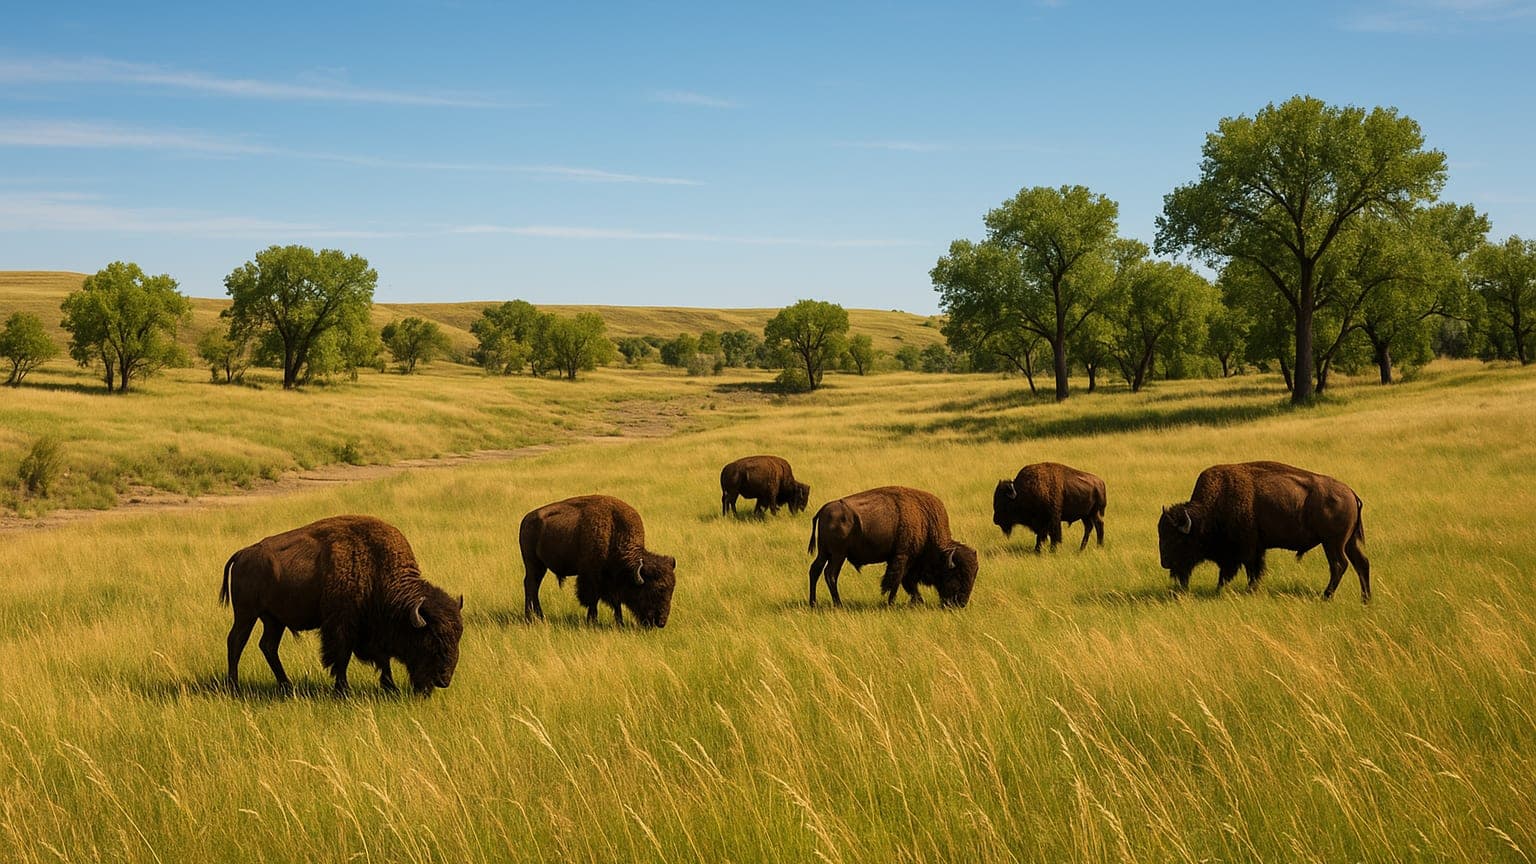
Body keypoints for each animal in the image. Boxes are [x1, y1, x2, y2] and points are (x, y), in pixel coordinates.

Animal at [221, 515, 464, 695]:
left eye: (457, 638)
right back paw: (235, 687)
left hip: (273, 620)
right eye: (430, 640)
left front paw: (390, 686)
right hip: (246, 614)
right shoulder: (341, 625)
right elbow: (342, 655)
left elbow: (382, 658)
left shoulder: (371, 631)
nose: (443, 680)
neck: (378, 569)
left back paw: (286, 686)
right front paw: (343, 689)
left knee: (268, 646)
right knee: (236, 641)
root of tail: (242, 553)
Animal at [520, 495, 676, 627]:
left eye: (671, 590)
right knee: (531, 585)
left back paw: (538, 617)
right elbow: (593, 599)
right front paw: (592, 622)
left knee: (534, 586)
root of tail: (526, 519)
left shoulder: (612, 581)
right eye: (653, 591)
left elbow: (616, 602)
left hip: (540, 566)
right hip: (532, 563)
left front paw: (620, 623)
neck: (614, 531)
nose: (661, 622)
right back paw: (532, 618)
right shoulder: (591, 576)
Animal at [807, 486, 978, 608]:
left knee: (815, 570)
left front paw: (916, 601)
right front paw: (892, 603)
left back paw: (813, 603)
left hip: (825, 553)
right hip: (838, 554)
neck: (926, 522)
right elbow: (897, 580)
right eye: (957, 575)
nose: (961, 603)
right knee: (830, 574)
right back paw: (838, 604)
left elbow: (906, 582)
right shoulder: (903, 556)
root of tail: (824, 509)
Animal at [1159, 461, 1370, 602]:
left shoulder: (1247, 550)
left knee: (1339, 565)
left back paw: (1326, 596)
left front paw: (1246, 591)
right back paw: (1365, 599)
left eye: (1177, 539)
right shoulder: (1255, 550)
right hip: (1348, 542)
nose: (1165, 562)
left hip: (1333, 543)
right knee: (1361, 563)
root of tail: (1351, 493)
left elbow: (1248, 571)